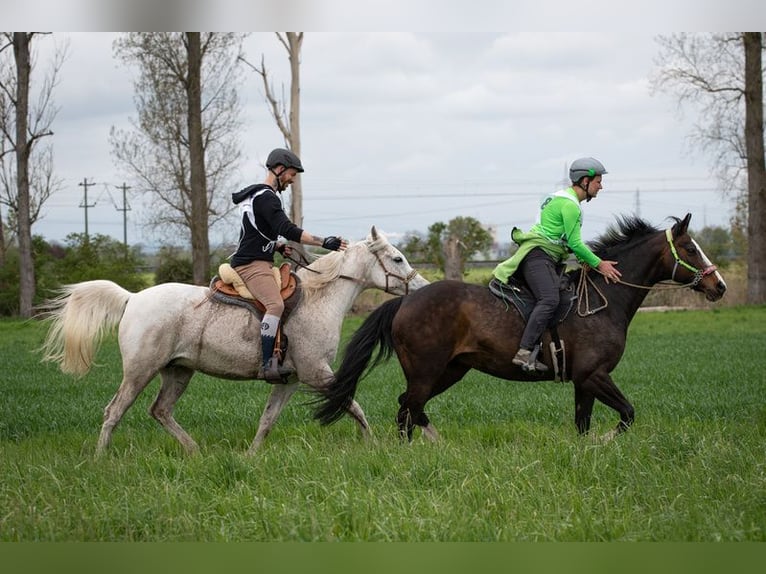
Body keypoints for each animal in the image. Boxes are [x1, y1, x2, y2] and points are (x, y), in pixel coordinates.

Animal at [316, 214, 728, 444]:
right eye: (691, 249)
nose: (719, 286)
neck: (604, 299)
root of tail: (404, 301)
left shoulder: (584, 382)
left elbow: (583, 424)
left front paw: (587, 449)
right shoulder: (594, 375)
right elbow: (627, 415)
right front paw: (605, 442)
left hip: (450, 370)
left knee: (409, 408)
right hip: (427, 371)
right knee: (409, 409)